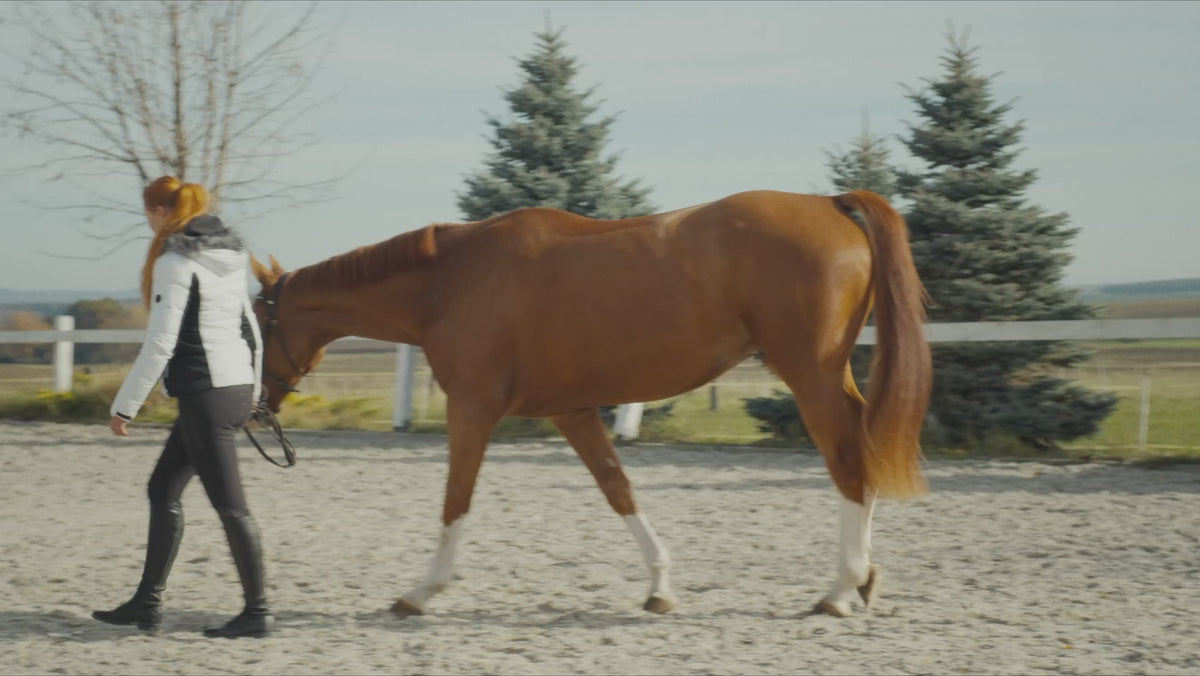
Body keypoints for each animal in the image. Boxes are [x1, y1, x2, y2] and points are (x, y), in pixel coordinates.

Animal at [249, 189, 932, 618]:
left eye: (249, 323)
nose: (254, 407)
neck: (446, 282)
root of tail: (829, 204)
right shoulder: (571, 411)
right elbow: (616, 488)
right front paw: (660, 587)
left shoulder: (472, 409)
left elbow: (455, 500)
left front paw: (420, 592)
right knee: (862, 451)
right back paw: (863, 581)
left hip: (809, 374)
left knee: (848, 461)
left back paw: (840, 589)